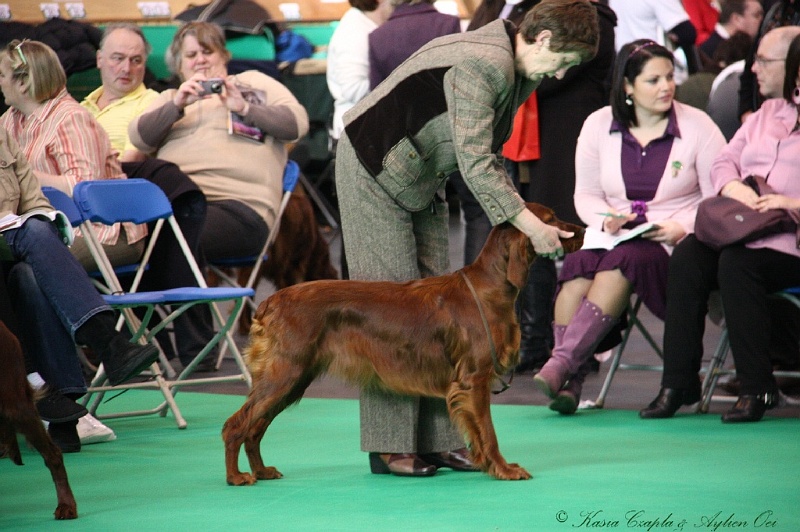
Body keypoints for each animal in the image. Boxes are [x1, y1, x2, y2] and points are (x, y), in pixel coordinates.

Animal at [222, 203, 584, 482]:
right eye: (551, 219)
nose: (582, 229)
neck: (490, 287)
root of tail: (271, 302)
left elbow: (477, 433)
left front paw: (483, 464)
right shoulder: (474, 379)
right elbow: (489, 431)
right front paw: (504, 469)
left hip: (293, 378)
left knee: (255, 427)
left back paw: (262, 471)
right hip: (285, 373)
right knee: (235, 424)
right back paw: (237, 477)